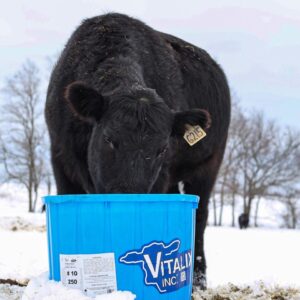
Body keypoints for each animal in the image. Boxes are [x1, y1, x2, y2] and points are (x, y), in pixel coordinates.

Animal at [45, 13, 231, 288]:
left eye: (162, 148)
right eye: (109, 138)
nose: (127, 193)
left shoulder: (162, 174)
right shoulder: (60, 157)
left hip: (209, 164)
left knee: (201, 216)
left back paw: (198, 279)